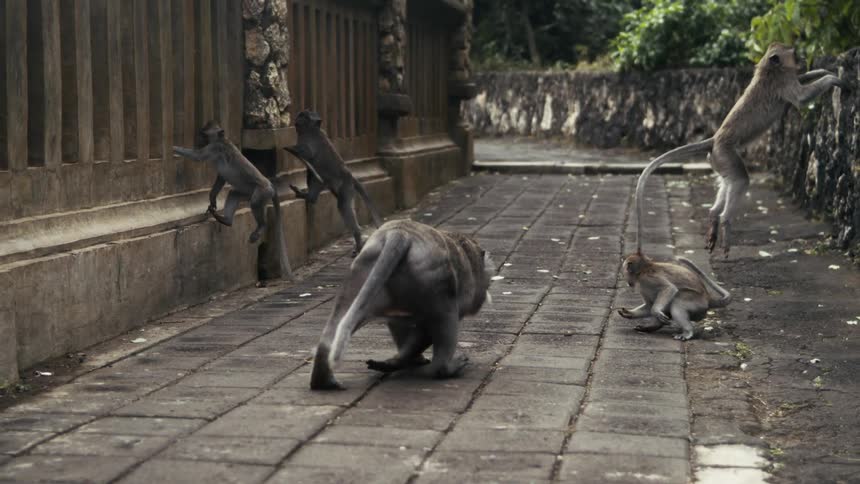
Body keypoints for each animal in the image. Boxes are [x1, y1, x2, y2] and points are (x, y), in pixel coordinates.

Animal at [173, 121, 292, 279]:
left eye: (204, 134)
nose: (199, 140)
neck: (223, 139)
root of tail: (271, 185)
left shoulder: (214, 148)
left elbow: (197, 157)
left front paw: (173, 148)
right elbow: (221, 178)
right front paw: (212, 198)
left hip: (262, 191)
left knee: (255, 202)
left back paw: (261, 226)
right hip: (247, 191)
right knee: (233, 194)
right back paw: (226, 220)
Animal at [284, 110, 383, 256]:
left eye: (304, 115)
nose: (297, 117)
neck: (312, 130)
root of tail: (350, 176)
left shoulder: (310, 141)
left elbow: (307, 153)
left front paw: (290, 148)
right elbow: (310, 167)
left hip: (346, 187)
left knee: (343, 205)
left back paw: (358, 238)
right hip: (329, 182)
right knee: (314, 177)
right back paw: (310, 197)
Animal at [309, 219, 493, 390]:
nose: (485, 292)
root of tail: (399, 234)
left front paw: (398, 361)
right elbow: (426, 330)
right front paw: (402, 361)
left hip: (363, 268)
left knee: (337, 324)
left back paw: (324, 380)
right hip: (432, 279)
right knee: (445, 317)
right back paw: (445, 368)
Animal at [633, 43, 848, 257]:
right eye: (794, 54)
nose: (802, 58)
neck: (769, 69)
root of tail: (714, 140)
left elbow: (802, 80)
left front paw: (822, 71)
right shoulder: (783, 82)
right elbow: (801, 97)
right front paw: (832, 79)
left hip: (718, 160)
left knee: (728, 182)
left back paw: (713, 217)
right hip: (725, 154)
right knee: (741, 180)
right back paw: (725, 223)